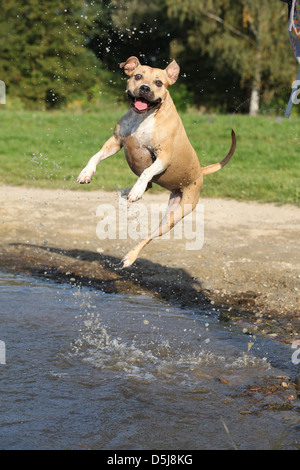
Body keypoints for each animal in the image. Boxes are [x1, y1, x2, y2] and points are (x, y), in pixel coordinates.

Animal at [76, 57, 236, 266]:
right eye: (137, 76)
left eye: (159, 83)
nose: (145, 88)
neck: (143, 117)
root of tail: (200, 172)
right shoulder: (115, 142)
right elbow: (95, 156)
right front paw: (86, 173)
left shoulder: (163, 157)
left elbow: (146, 172)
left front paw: (137, 189)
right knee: (150, 186)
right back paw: (127, 192)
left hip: (174, 215)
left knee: (150, 234)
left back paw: (130, 255)